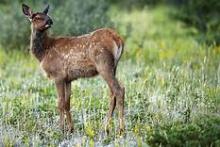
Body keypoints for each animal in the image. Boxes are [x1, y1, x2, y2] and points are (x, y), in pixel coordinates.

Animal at [22, 3, 125, 133]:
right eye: (36, 17)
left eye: (46, 15)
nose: (50, 20)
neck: (44, 52)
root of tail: (118, 39)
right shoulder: (68, 79)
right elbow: (67, 103)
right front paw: (71, 128)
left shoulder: (58, 75)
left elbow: (60, 102)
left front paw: (61, 129)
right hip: (114, 66)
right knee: (113, 93)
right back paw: (106, 127)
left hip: (103, 64)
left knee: (119, 90)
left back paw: (121, 129)